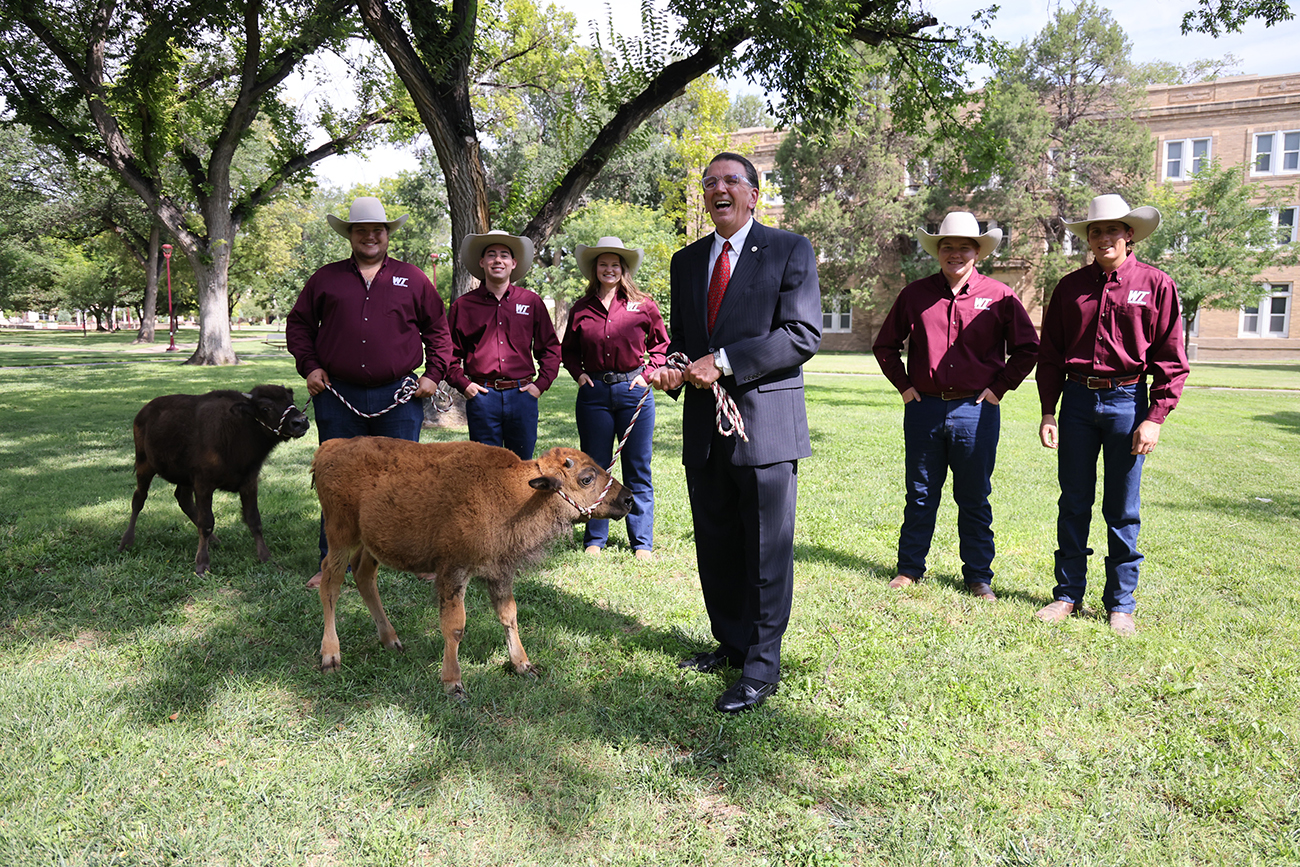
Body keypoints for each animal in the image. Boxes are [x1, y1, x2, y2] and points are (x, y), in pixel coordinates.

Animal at [117, 382, 309, 571]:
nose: (300, 422)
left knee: (183, 500)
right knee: (139, 499)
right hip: (144, 466)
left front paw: (267, 558)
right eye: (265, 408)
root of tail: (144, 411)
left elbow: (254, 520)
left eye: (290, 400)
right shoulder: (204, 485)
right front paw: (202, 564)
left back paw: (215, 541)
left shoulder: (248, 483)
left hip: (184, 479)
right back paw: (126, 543)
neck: (239, 427)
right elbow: (207, 522)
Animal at [315, 441, 639, 696]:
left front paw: (524, 666)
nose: (629, 498)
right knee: (331, 583)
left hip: (369, 544)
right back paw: (331, 657)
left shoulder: (499, 573)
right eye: (586, 478)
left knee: (364, 576)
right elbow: (455, 626)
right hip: (340, 535)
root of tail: (327, 448)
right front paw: (453, 683)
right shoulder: (453, 572)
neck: (517, 491)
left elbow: (509, 615)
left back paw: (392, 641)